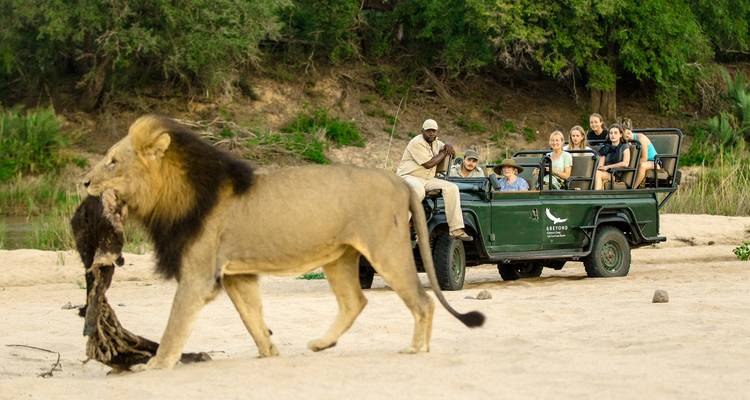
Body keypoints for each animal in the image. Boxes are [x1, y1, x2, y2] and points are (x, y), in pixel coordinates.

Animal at [83, 115, 484, 370]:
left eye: (113, 161)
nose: (84, 182)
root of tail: (401, 182)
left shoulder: (198, 274)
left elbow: (174, 326)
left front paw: (155, 364)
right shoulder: (237, 275)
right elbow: (252, 317)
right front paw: (270, 352)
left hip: (386, 248)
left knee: (421, 300)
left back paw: (416, 348)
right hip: (340, 256)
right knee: (355, 301)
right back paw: (322, 344)